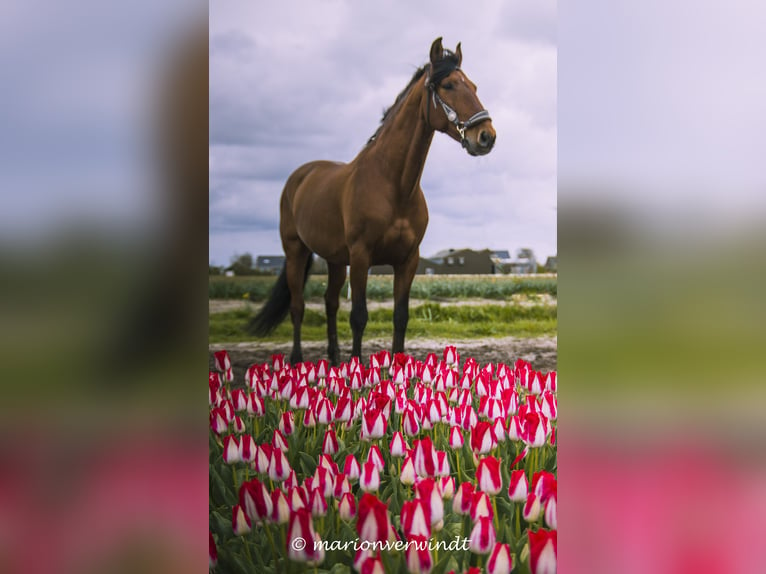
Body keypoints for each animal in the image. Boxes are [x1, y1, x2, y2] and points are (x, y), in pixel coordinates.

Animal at [249, 38, 496, 366]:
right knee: (298, 306)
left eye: (475, 86)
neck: (394, 185)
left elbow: (400, 316)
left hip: (335, 260)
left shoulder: (407, 260)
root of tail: (300, 176)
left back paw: (334, 360)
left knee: (329, 302)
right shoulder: (361, 256)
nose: (486, 136)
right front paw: (357, 368)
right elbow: (359, 316)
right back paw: (297, 359)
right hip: (296, 252)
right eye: (448, 85)